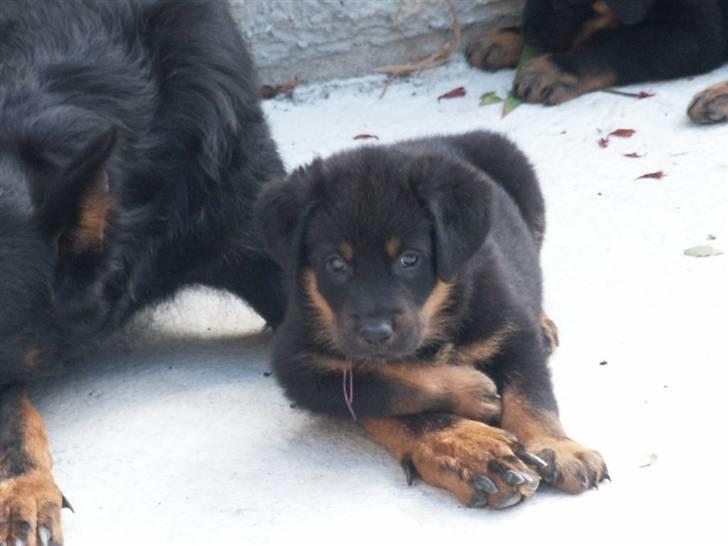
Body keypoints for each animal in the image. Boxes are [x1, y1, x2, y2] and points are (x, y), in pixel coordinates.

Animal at [256, 131, 608, 506]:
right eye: (336, 264)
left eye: (410, 259)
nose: (375, 333)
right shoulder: (300, 366)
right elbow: (388, 385)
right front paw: (471, 424)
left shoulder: (512, 328)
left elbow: (533, 396)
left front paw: (558, 448)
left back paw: (544, 325)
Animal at [466, 0, 728, 121]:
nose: (531, 35)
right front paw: (502, 39)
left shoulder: (702, 35)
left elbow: (614, 43)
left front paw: (552, 69)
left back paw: (716, 97)